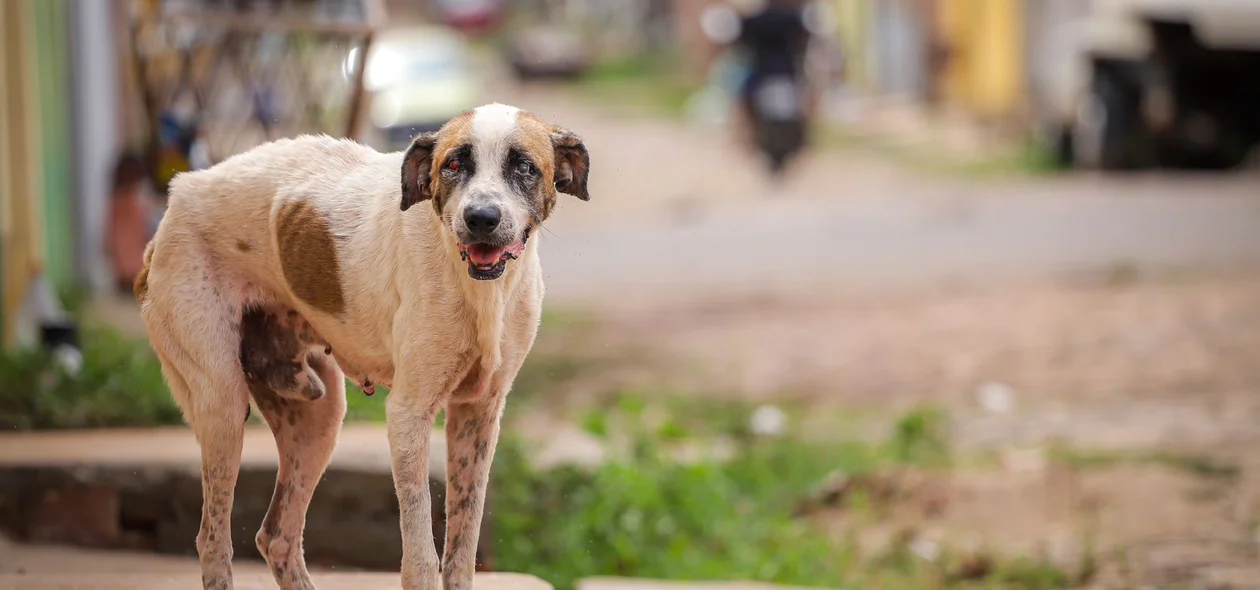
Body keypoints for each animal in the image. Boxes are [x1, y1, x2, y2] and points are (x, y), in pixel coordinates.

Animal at [137, 104, 589, 587]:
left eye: (524, 166)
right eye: (452, 165)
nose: (480, 218)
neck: (479, 290)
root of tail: (180, 193)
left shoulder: (479, 414)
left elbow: (461, 551)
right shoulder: (408, 415)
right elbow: (421, 557)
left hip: (319, 416)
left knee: (276, 536)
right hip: (222, 407)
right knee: (213, 541)